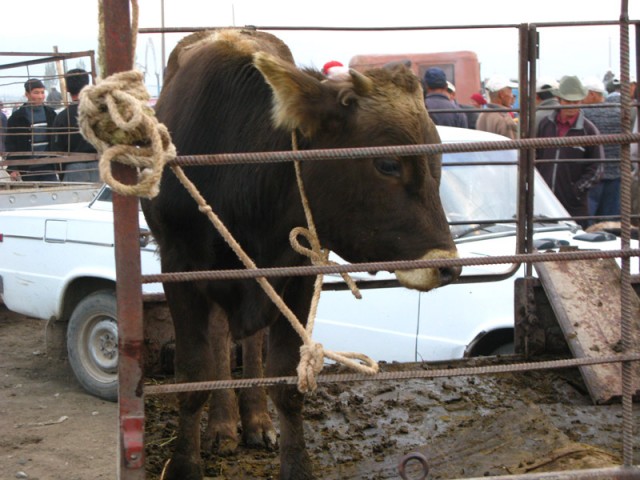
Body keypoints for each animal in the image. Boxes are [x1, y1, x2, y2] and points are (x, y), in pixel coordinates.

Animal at [141, 28, 460, 480]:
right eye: (386, 164)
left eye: (438, 161)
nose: (448, 265)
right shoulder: (179, 267)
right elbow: (194, 376)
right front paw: (185, 465)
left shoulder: (299, 270)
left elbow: (285, 381)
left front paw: (295, 463)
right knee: (220, 339)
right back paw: (223, 426)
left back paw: (255, 422)